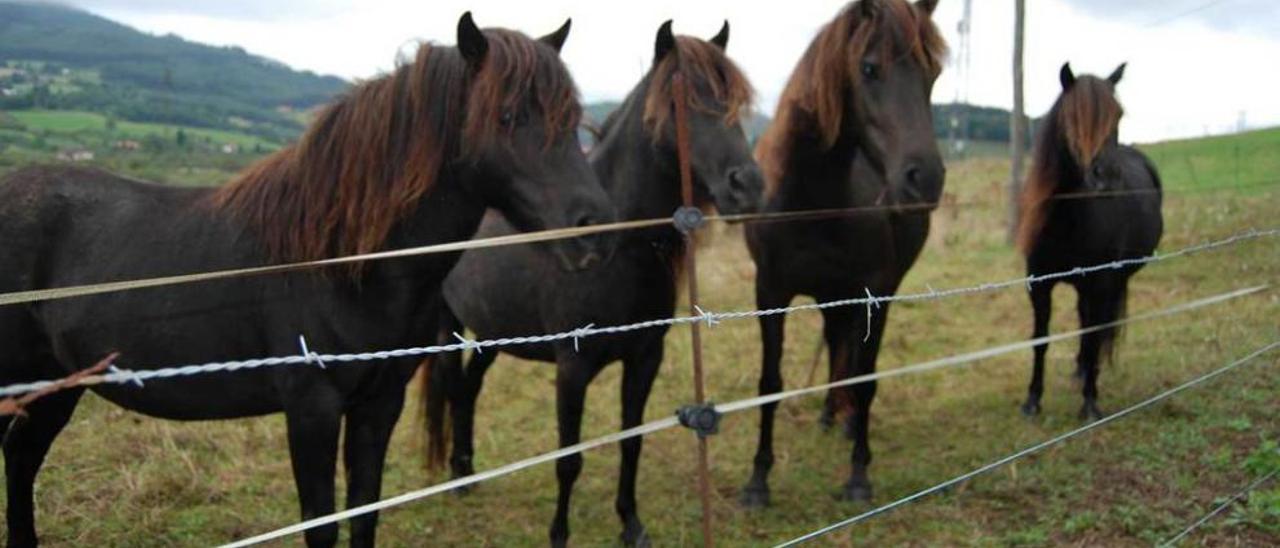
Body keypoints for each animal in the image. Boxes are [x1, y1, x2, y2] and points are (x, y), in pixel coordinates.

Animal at [0, 13, 614, 548]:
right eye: (507, 117)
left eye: (572, 120)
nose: (595, 231)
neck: (345, 264)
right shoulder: (311, 409)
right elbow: (322, 526)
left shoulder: (379, 404)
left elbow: (365, 513)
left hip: (57, 385)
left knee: (22, 458)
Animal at [419, 20, 757, 548]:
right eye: (681, 102)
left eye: (733, 102)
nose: (748, 185)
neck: (618, 253)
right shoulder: (572, 369)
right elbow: (569, 460)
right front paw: (559, 534)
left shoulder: (645, 359)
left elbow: (631, 441)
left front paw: (631, 524)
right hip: (448, 326)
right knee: (454, 387)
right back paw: (457, 480)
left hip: (494, 333)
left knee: (469, 389)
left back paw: (466, 472)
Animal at [742, 0, 952, 507]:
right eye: (869, 68)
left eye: (933, 73)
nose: (925, 179)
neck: (811, 198)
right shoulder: (769, 292)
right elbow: (769, 383)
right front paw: (758, 481)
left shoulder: (874, 290)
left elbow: (867, 375)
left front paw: (858, 475)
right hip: (829, 294)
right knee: (837, 340)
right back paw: (829, 414)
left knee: (850, 353)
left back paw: (848, 420)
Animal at [1013, 63, 1167, 419]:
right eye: (1072, 116)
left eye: (1119, 114)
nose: (1106, 177)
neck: (1066, 219)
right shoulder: (1038, 284)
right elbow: (1040, 338)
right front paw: (1032, 400)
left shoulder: (1101, 282)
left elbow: (1095, 334)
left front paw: (1090, 403)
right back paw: (1081, 369)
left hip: (1111, 281)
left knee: (1096, 327)